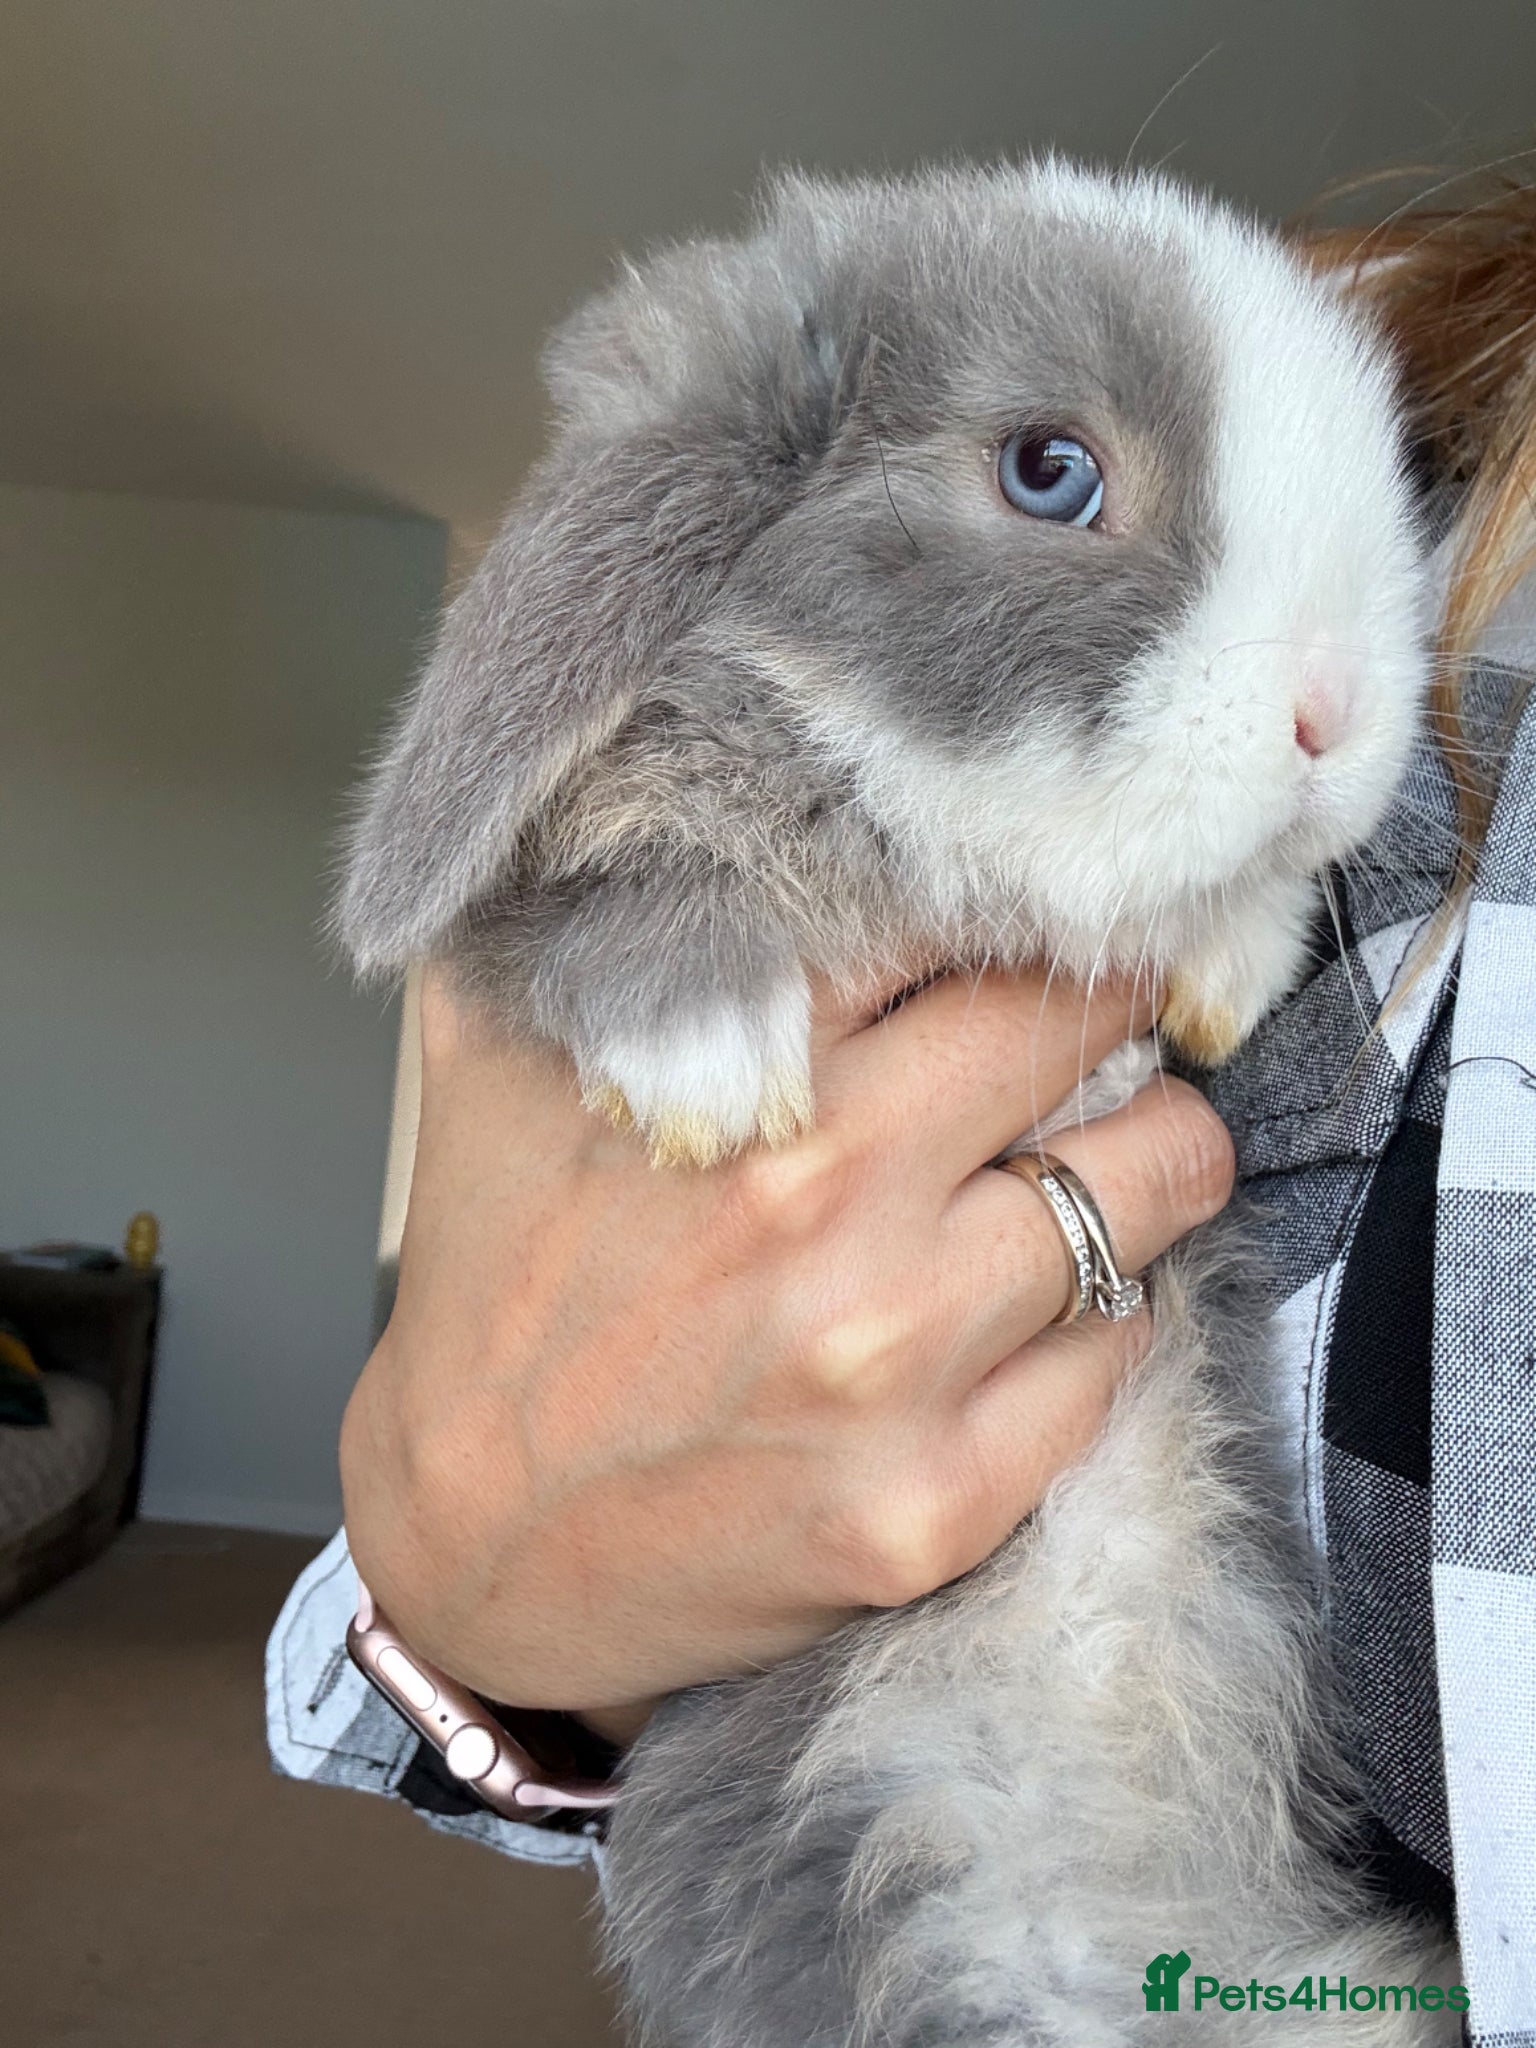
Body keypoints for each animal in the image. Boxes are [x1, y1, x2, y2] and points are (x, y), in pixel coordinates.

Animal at [337, 162, 1459, 2043]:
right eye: (1048, 468)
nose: (1339, 718)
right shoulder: (539, 898)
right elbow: (594, 906)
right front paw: (715, 1068)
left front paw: (1222, 968)